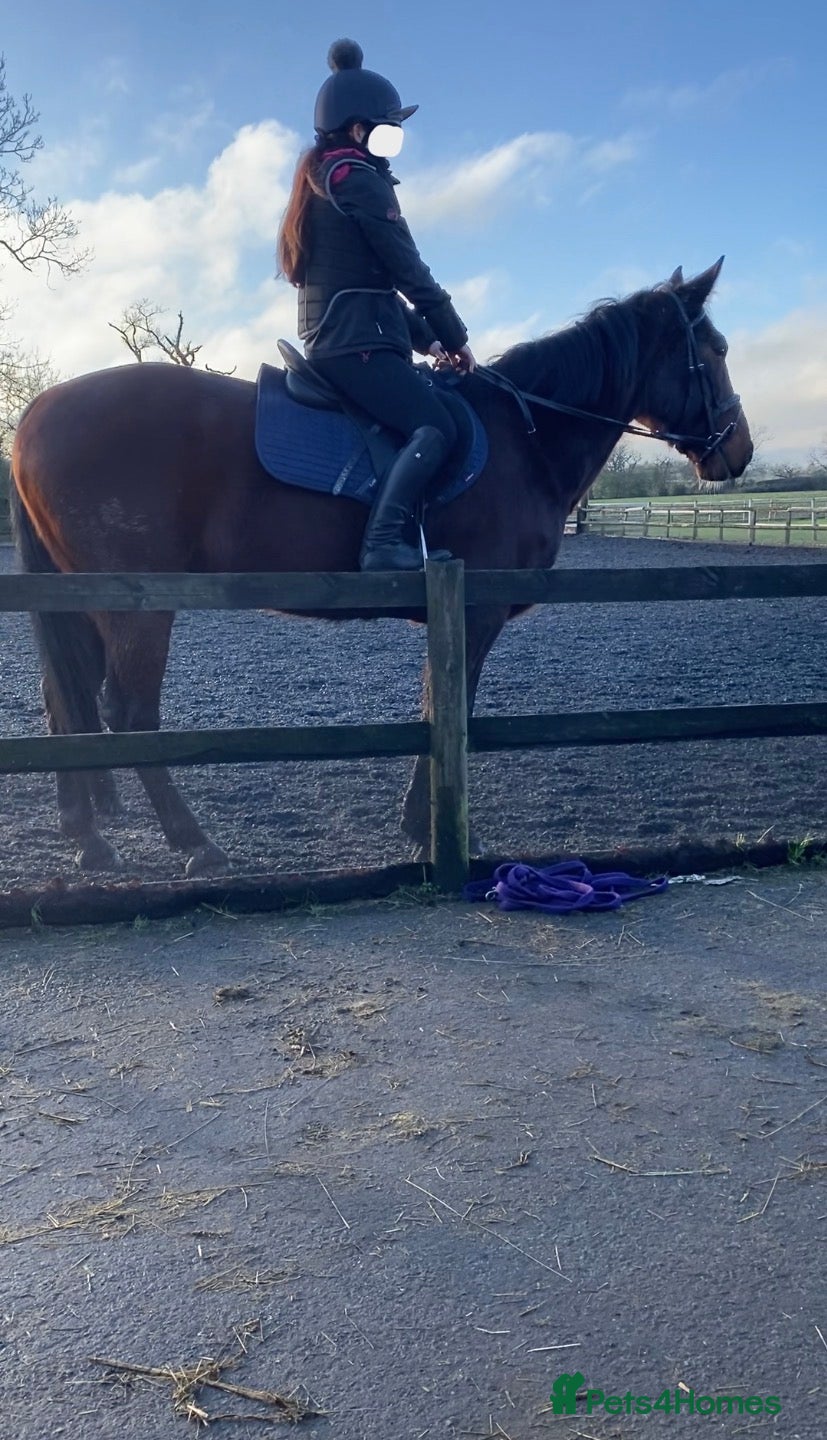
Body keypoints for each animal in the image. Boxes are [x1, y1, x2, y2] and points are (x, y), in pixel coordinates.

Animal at [9, 257, 753, 877]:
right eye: (714, 351)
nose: (738, 451)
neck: (525, 440)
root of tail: (37, 413)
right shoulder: (474, 609)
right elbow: (452, 704)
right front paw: (434, 832)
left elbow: (433, 702)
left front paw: (421, 826)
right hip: (137, 604)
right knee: (129, 711)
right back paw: (194, 843)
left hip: (87, 603)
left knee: (64, 701)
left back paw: (89, 838)